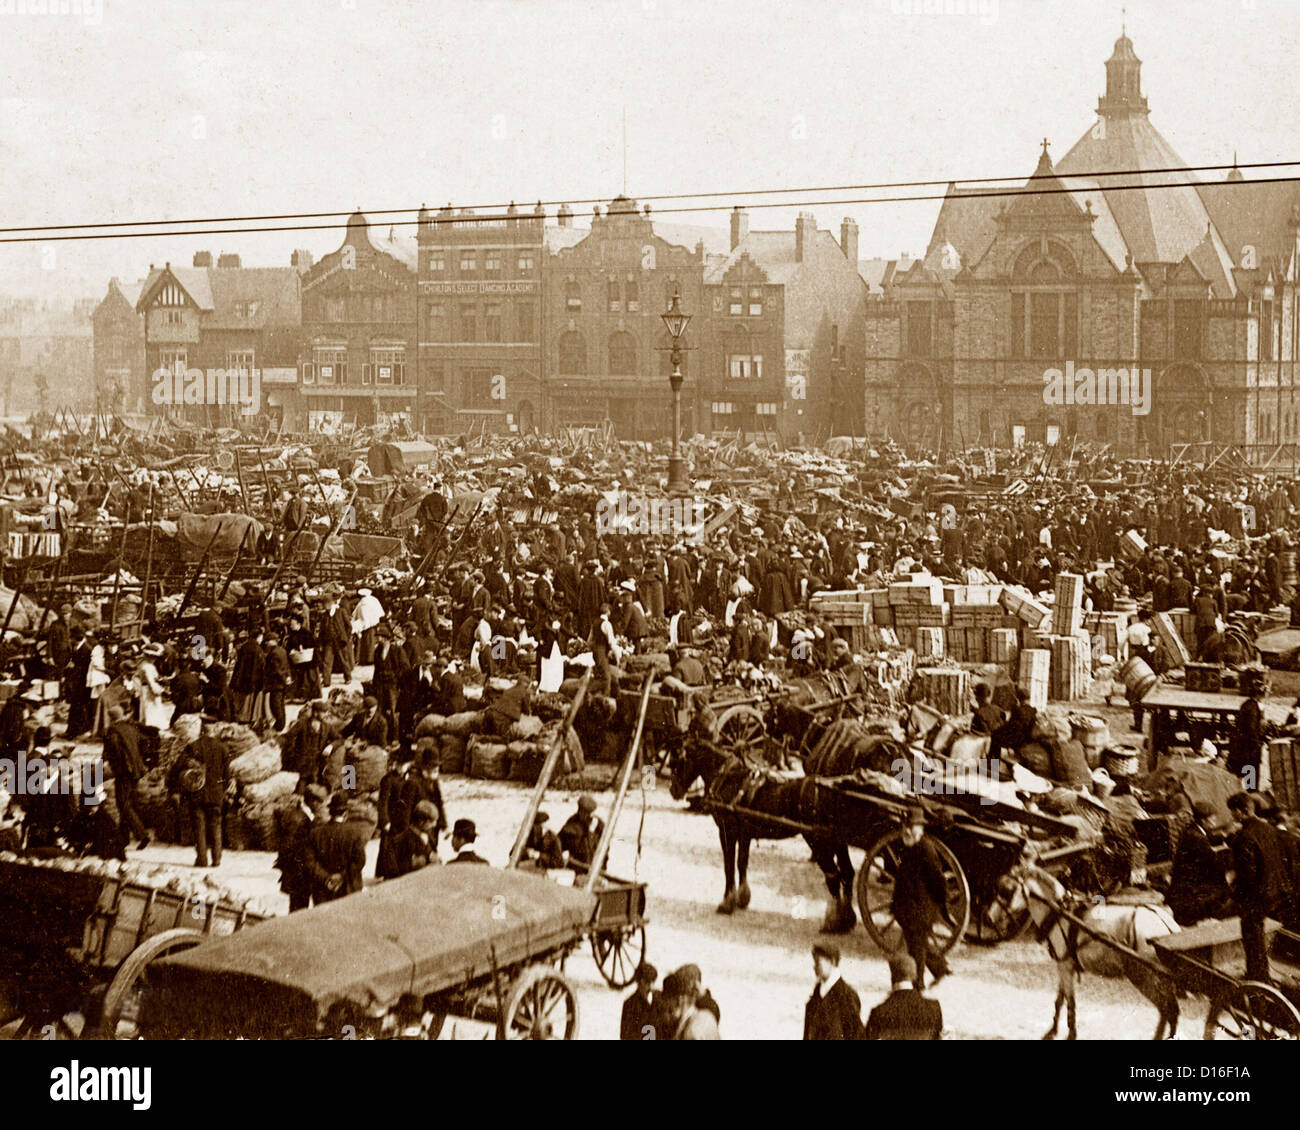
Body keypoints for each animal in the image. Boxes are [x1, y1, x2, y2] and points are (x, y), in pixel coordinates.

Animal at [670, 738, 863, 931]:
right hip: (837, 841)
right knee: (847, 872)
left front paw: (727, 902)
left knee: (833, 876)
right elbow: (742, 862)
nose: (674, 791)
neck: (729, 778)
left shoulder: (727, 831)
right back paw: (848, 918)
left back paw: (833, 921)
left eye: (677, 761)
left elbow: (728, 866)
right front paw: (742, 898)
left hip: (818, 841)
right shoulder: (744, 833)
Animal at [993, 863, 1190, 1040]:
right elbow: (1060, 1000)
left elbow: (1070, 1002)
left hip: (1143, 976)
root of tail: (1165, 922)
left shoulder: (1065, 966)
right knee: (1171, 1010)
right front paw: (1052, 1031)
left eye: (1007, 891)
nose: (990, 917)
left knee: (1167, 1009)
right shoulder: (1064, 965)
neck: (1059, 914)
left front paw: (1071, 1034)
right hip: (1161, 979)